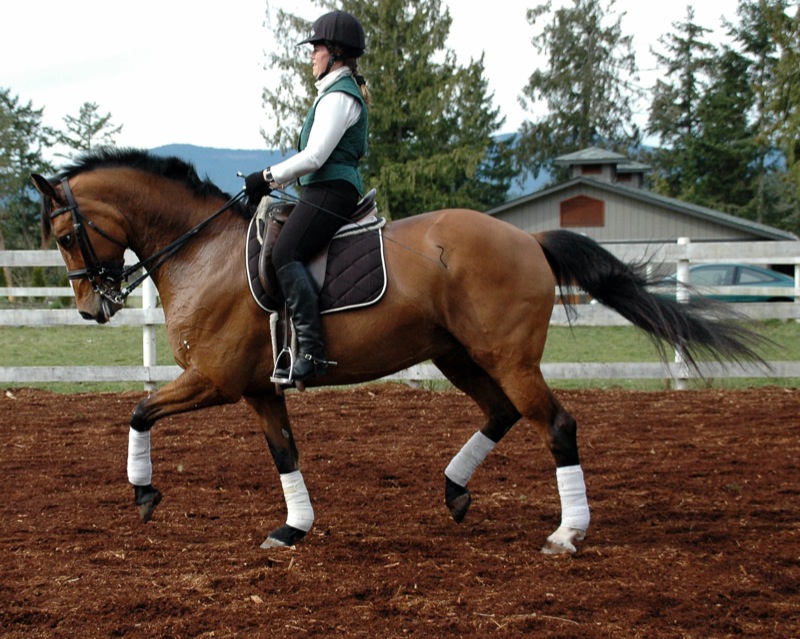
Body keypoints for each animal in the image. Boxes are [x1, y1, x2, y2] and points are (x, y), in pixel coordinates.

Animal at [31, 147, 766, 554]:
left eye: (65, 235)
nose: (92, 307)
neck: (202, 252)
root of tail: (528, 239)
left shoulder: (213, 379)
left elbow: (138, 410)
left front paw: (144, 492)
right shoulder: (260, 388)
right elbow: (284, 452)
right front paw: (294, 528)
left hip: (507, 357)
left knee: (555, 424)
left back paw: (566, 533)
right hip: (458, 355)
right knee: (501, 413)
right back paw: (455, 491)